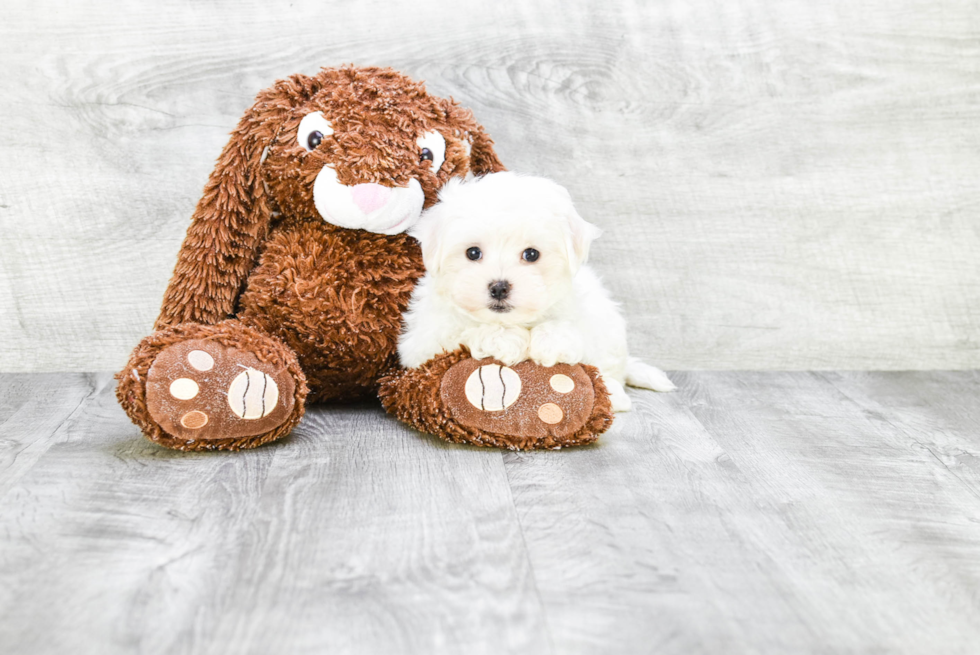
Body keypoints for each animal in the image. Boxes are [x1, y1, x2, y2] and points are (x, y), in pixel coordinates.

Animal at [398, 173, 672, 410]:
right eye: (473, 252)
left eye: (531, 254)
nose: (499, 287)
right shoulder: (422, 343)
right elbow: (462, 331)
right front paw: (506, 339)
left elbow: (571, 331)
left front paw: (548, 341)